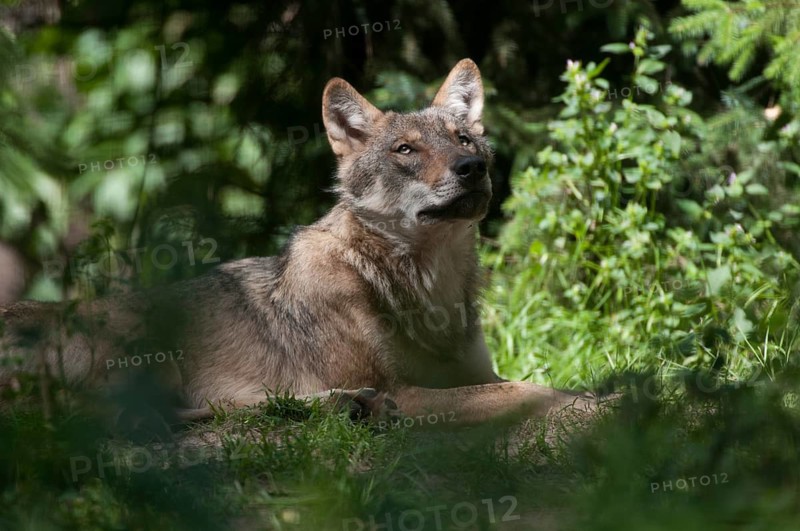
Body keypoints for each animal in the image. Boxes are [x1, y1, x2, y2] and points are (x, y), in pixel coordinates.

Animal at [0, 59, 595, 427]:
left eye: (465, 139)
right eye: (405, 150)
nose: (473, 168)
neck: (428, 290)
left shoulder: (473, 372)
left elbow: (528, 384)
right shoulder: (408, 389)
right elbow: (525, 391)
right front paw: (599, 404)